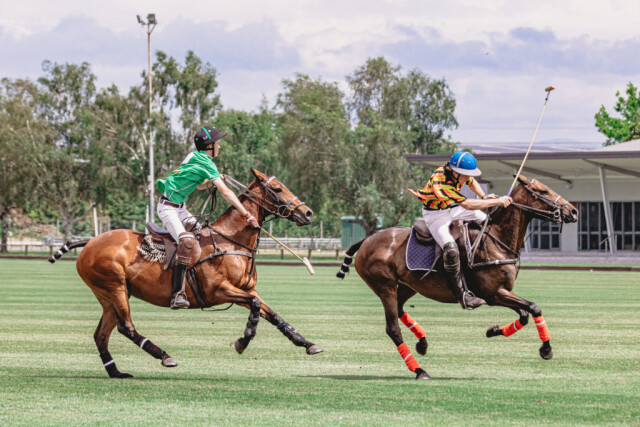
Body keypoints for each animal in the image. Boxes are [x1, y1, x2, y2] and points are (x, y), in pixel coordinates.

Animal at [49, 169, 322, 378]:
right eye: (277, 189)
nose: (308, 213)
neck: (231, 241)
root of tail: (90, 242)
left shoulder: (245, 289)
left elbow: (271, 313)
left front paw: (308, 344)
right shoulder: (219, 291)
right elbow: (256, 307)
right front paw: (242, 341)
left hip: (107, 296)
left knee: (101, 334)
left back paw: (116, 372)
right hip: (114, 287)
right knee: (125, 327)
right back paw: (164, 356)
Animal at [336, 175, 578, 380]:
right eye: (542, 191)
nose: (574, 211)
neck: (496, 239)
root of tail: (366, 240)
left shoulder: (504, 291)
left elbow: (525, 314)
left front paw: (493, 331)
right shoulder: (493, 293)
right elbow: (534, 308)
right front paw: (546, 349)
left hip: (409, 285)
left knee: (399, 309)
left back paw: (422, 343)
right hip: (384, 285)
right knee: (393, 328)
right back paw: (420, 371)